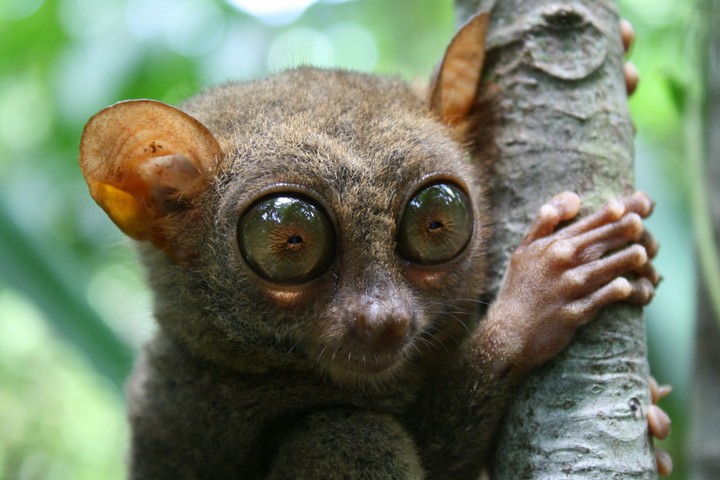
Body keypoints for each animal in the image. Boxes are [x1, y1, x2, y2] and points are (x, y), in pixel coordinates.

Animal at [79, 12, 670, 480]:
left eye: (436, 223)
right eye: (288, 240)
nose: (382, 319)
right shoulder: (222, 407)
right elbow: (444, 457)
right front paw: (534, 302)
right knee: (347, 434)